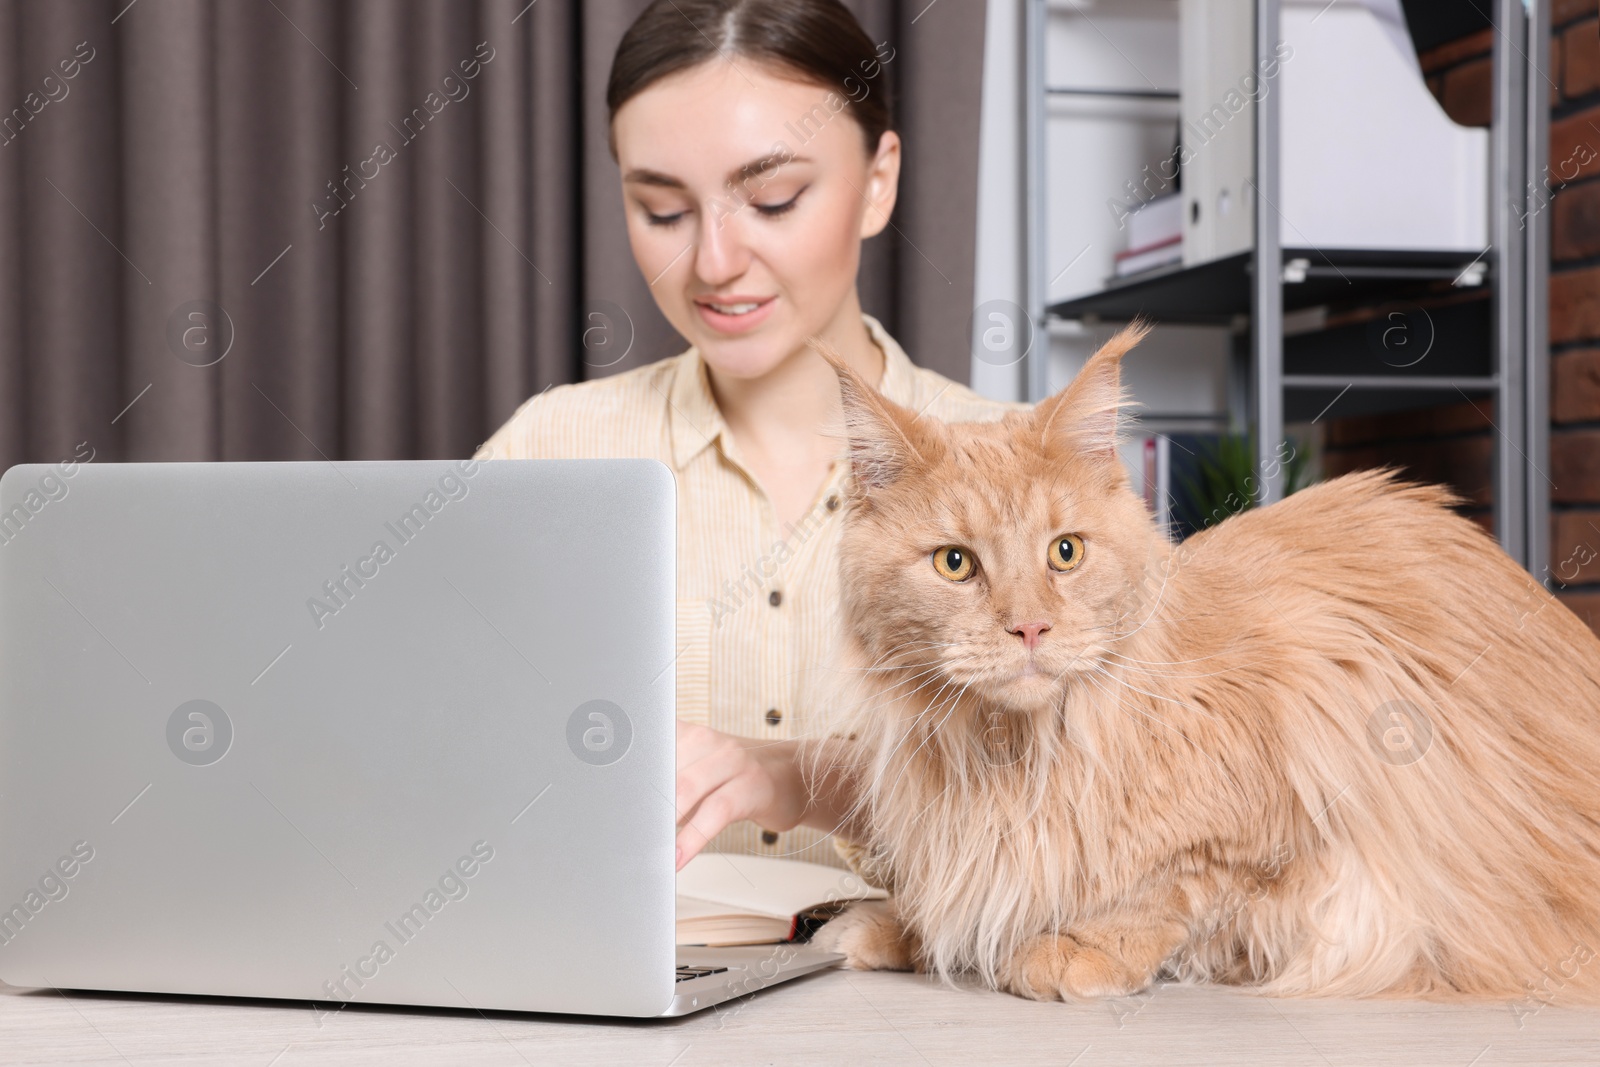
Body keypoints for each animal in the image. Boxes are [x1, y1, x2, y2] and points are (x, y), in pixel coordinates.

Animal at [812, 323, 1600, 1004]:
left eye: (1065, 552)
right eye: (954, 563)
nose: (1030, 626)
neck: (1010, 759)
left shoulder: (1330, 725)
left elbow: (1170, 887)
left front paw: (1072, 947)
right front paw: (892, 925)